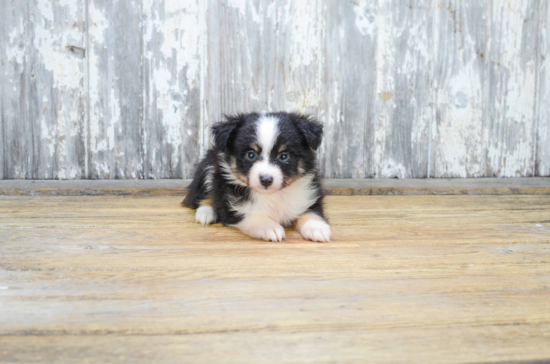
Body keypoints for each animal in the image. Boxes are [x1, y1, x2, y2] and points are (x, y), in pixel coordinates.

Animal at [185, 111, 332, 242]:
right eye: (251, 154)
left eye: (284, 156)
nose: (266, 180)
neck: (272, 195)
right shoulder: (229, 205)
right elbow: (250, 215)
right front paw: (269, 227)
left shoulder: (309, 195)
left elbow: (311, 212)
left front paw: (317, 227)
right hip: (208, 167)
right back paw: (206, 213)